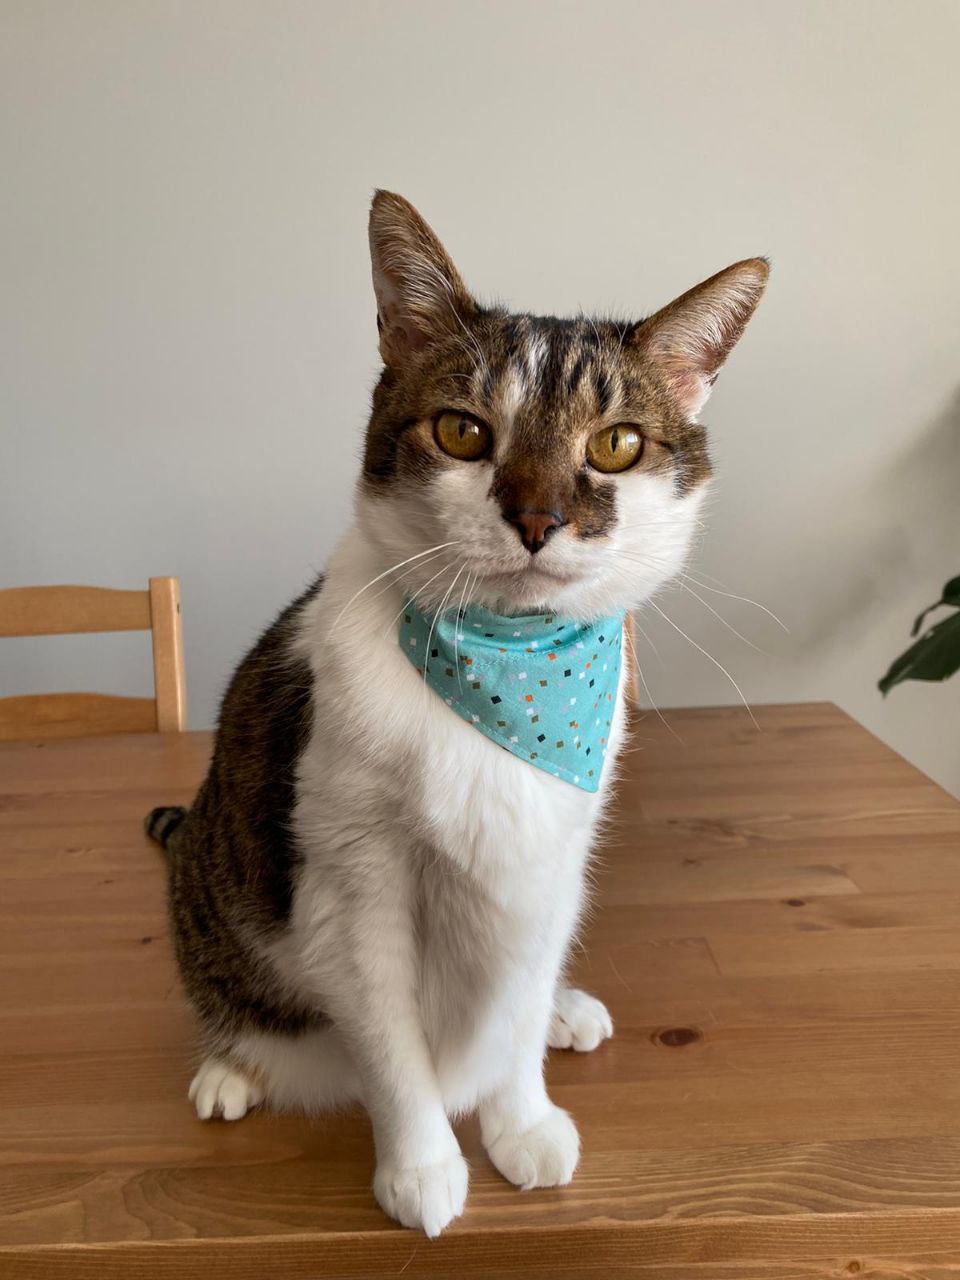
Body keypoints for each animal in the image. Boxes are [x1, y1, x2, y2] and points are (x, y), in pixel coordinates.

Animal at [146, 192, 773, 1239]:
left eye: (616, 444)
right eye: (463, 432)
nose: (537, 517)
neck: (509, 673)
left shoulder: (555, 857)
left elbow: (511, 1012)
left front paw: (521, 1122)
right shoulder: (354, 879)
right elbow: (392, 1043)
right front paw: (423, 1167)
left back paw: (563, 1011)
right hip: (215, 874)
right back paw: (230, 1067)